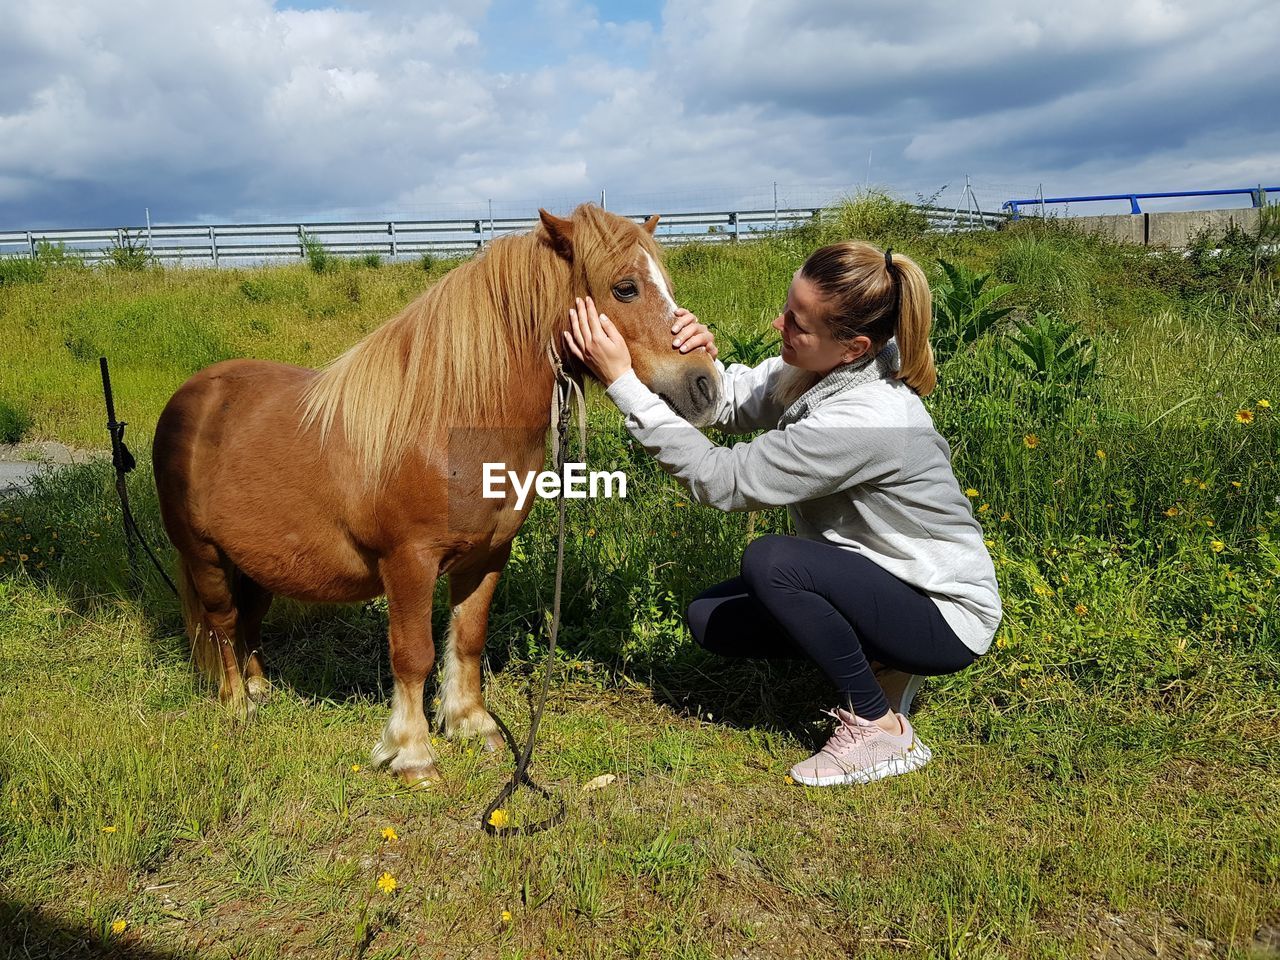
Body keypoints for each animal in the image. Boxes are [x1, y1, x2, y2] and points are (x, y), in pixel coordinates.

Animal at [152, 207, 721, 783]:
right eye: (625, 288)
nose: (706, 387)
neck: (450, 423)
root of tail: (189, 397)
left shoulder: (488, 556)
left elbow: (468, 638)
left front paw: (471, 724)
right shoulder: (409, 563)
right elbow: (414, 654)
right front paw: (412, 752)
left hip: (258, 563)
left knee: (248, 623)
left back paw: (260, 689)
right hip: (205, 557)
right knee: (223, 624)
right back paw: (237, 706)